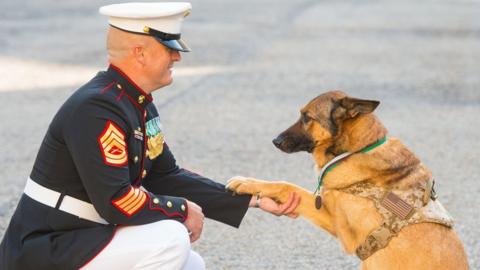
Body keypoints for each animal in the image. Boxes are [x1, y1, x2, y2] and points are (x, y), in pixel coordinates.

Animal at [227, 91, 466, 270]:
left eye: (306, 117)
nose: (275, 141)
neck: (358, 149)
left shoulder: (339, 225)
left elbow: (286, 185)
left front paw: (246, 183)